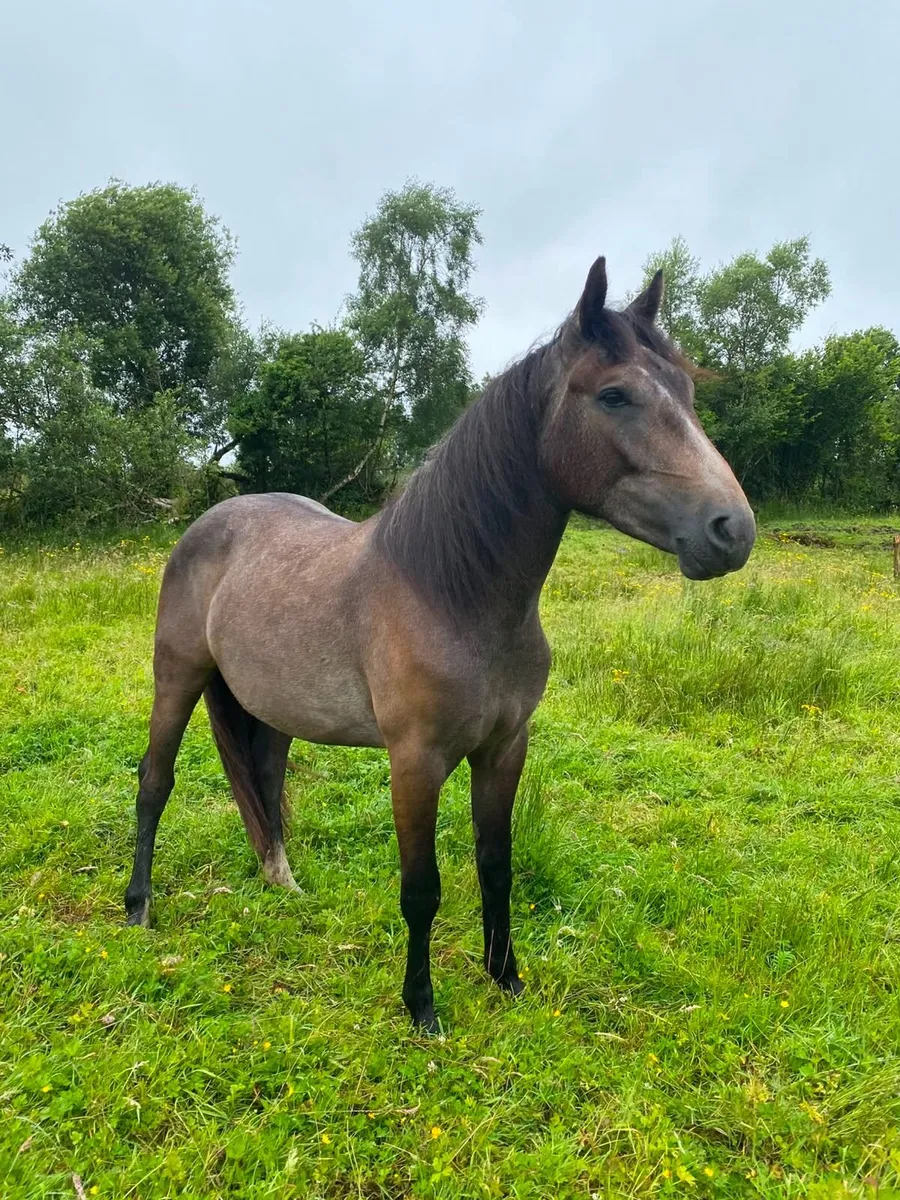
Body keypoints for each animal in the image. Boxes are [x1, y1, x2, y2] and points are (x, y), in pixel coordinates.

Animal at [125, 255, 755, 1031]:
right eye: (614, 395)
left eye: (688, 392)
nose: (732, 530)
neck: (455, 598)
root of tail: (208, 524)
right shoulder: (416, 761)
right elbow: (421, 886)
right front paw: (422, 1006)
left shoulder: (505, 749)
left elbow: (495, 864)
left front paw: (505, 977)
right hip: (177, 677)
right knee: (155, 782)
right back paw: (139, 909)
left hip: (270, 705)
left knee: (265, 782)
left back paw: (282, 884)